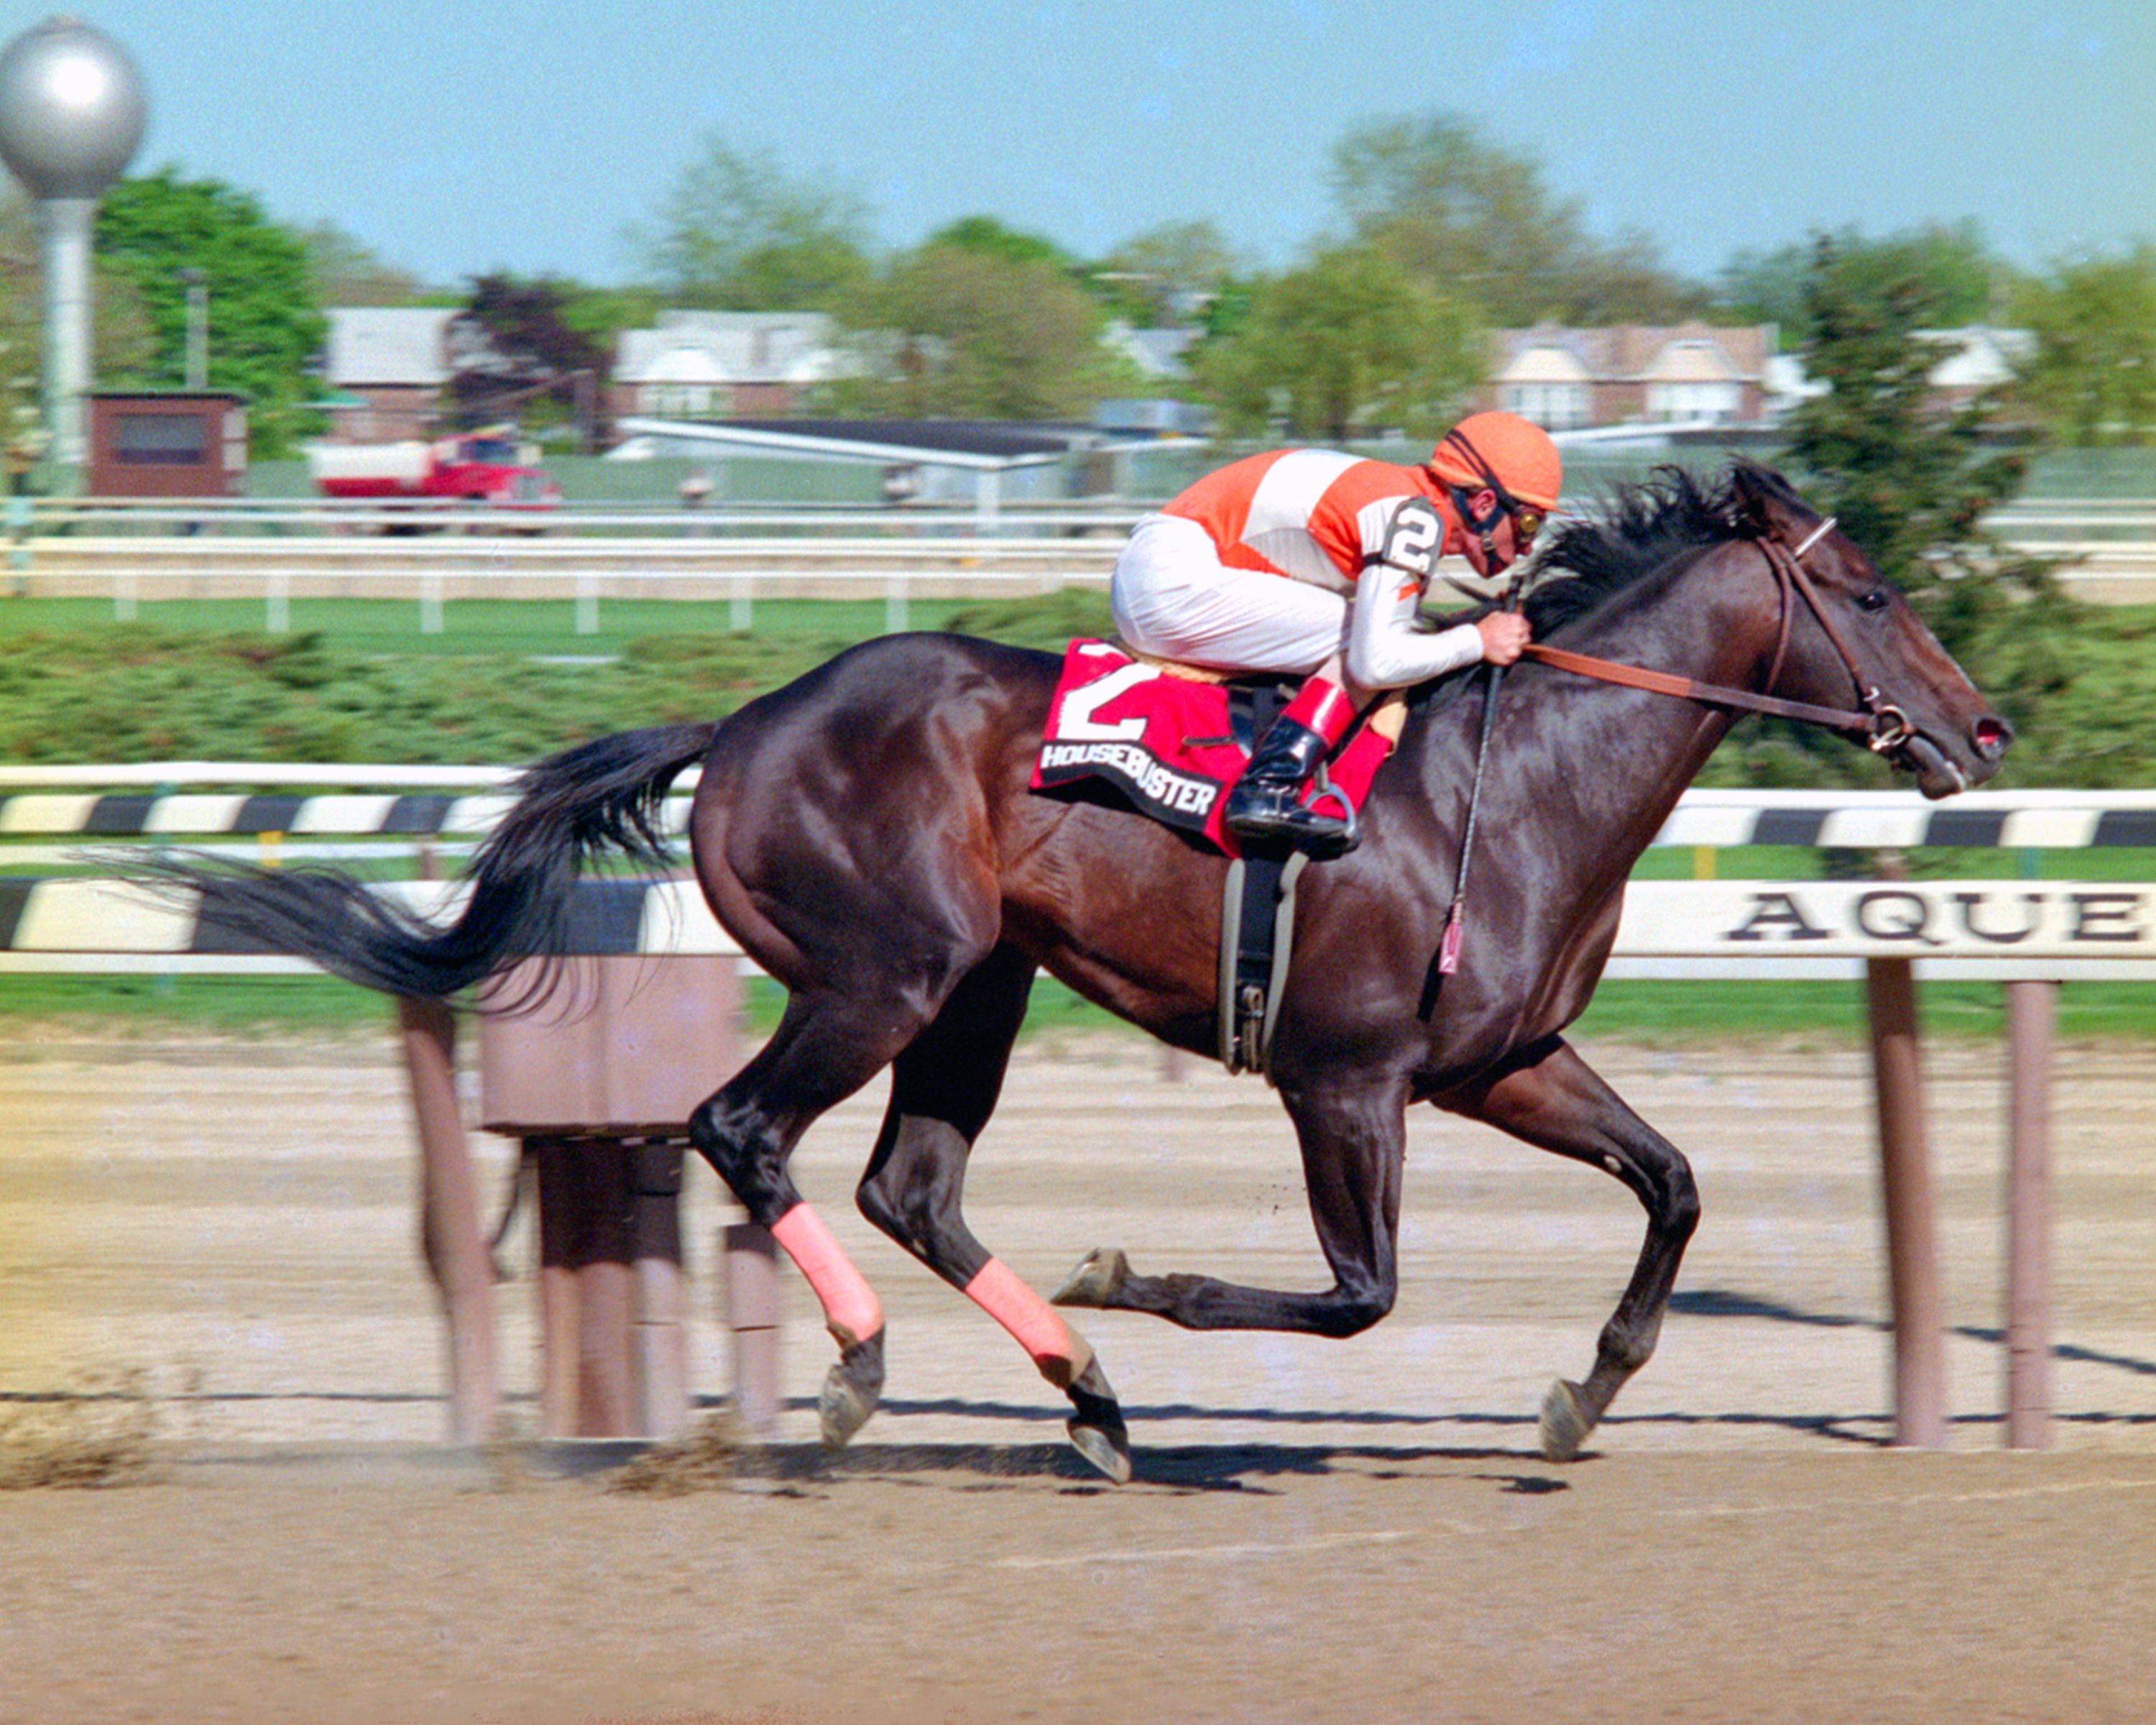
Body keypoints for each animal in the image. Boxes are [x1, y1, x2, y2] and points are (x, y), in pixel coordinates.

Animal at [164, 461, 2001, 1484]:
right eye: (1866, 590)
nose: (1980, 733)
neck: (1527, 770)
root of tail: (745, 721)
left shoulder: (1501, 1061)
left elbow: (1673, 1184)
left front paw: (1582, 1394)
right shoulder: (1344, 1075)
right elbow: (1358, 1291)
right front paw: (1141, 1279)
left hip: (978, 982)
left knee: (908, 1186)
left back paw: (1087, 1398)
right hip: (885, 972)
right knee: (741, 1131)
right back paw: (873, 1369)